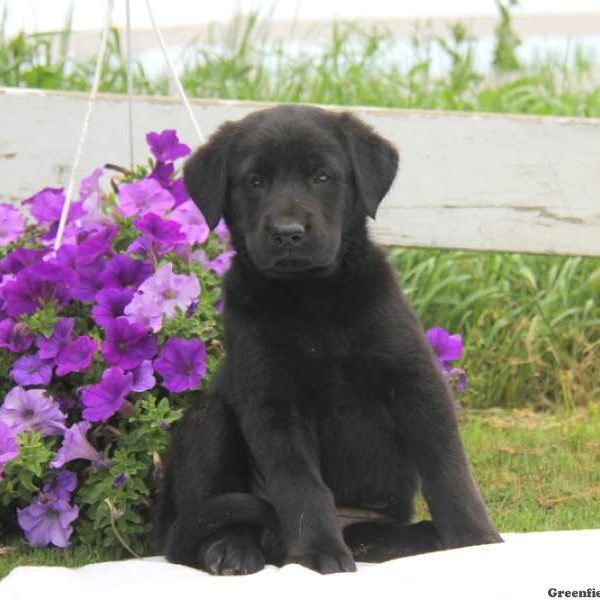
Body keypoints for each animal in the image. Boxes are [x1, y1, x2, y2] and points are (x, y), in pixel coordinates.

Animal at [155, 104, 502, 576]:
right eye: (255, 181)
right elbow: (302, 485)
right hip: (206, 422)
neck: (312, 299)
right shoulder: (275, 405)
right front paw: (319, 550)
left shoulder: (415, 381)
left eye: (321, 176)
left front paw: (474, 539)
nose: (287, 233)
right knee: (206, 521)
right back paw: (231, 549)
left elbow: (448, 467)